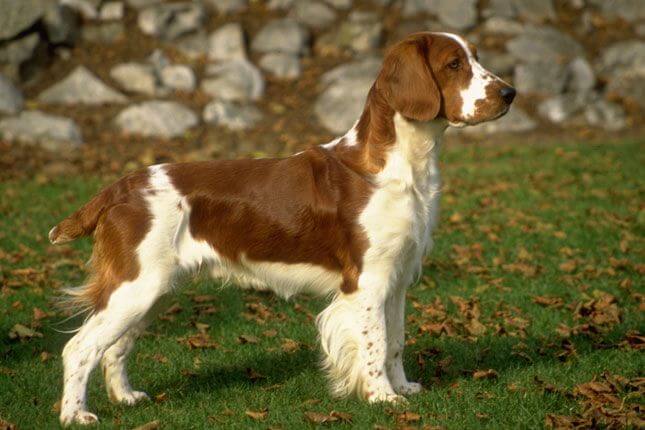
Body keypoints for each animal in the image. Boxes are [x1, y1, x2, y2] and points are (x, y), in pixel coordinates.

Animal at [47, 31, 516, 426]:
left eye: (475, 57)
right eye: (454, 63)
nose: (510, 93)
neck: (397, 167)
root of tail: (119, 188)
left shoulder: (398, 277)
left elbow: (397, 339)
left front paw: (403, 387)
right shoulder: (367, 281)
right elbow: (376, 343)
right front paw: (383, 398)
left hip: (152, 291)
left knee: (115, 346)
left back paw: (126, 397)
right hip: (136, 286)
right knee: (78, 348)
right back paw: (75, 415)